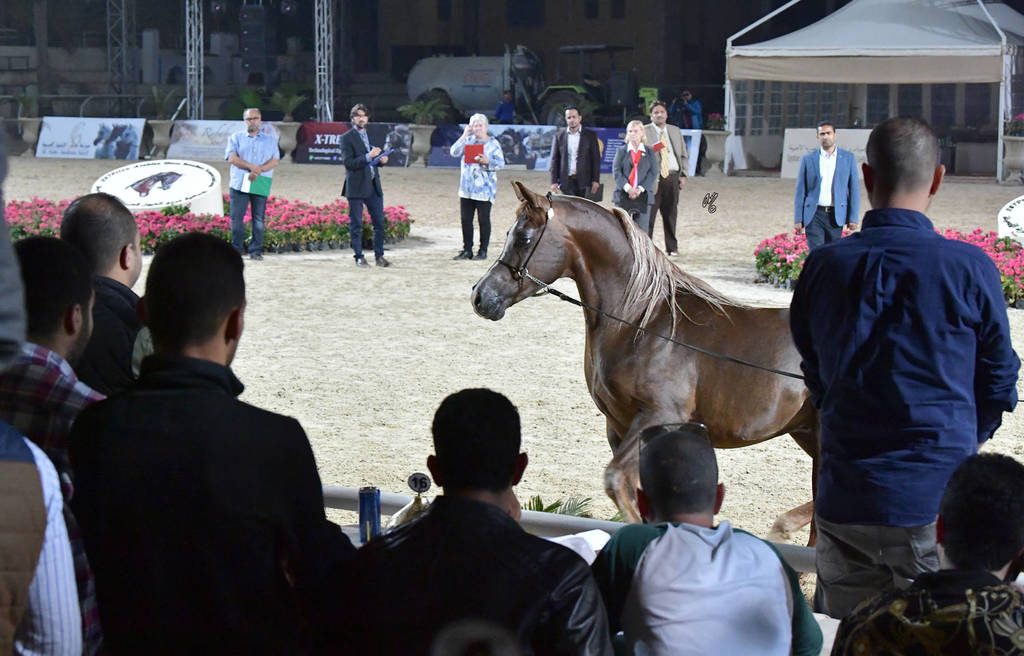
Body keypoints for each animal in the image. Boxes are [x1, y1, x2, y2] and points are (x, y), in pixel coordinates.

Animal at [471, 181, 818, 541]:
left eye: (524, 237)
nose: (481, 296)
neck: (640, 321)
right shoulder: (619, 425)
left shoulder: (661, 415)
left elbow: (616, 481)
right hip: (807, 432)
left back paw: (782, 529)